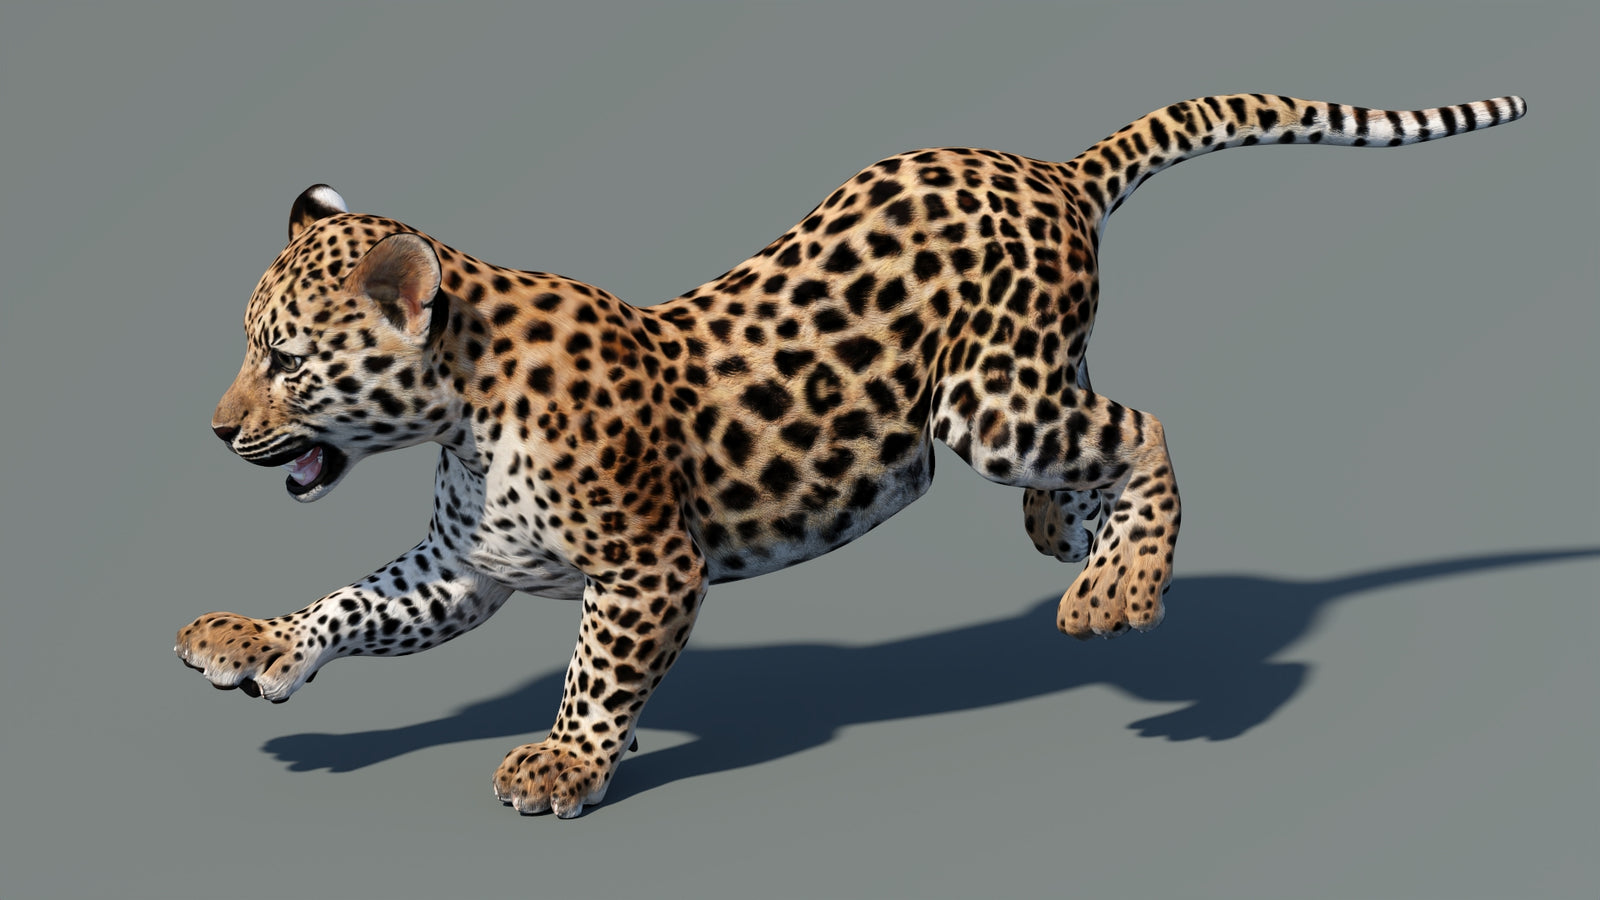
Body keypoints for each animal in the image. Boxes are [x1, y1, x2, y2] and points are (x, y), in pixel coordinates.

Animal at [178, 93, 1527, 817]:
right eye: (251, 347)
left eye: (286, 359)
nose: (219, 431)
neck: (459, 410)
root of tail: (1052, 168)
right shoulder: (469, 568)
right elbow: (356, 601)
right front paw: (254, 644)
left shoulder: (650, 566)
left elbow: (598, 671)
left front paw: (564, 760)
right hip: (1010, 396)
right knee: (1089, 445)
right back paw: (1071, 541)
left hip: (989, 405)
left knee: (1139, 430)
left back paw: (1115, 591)